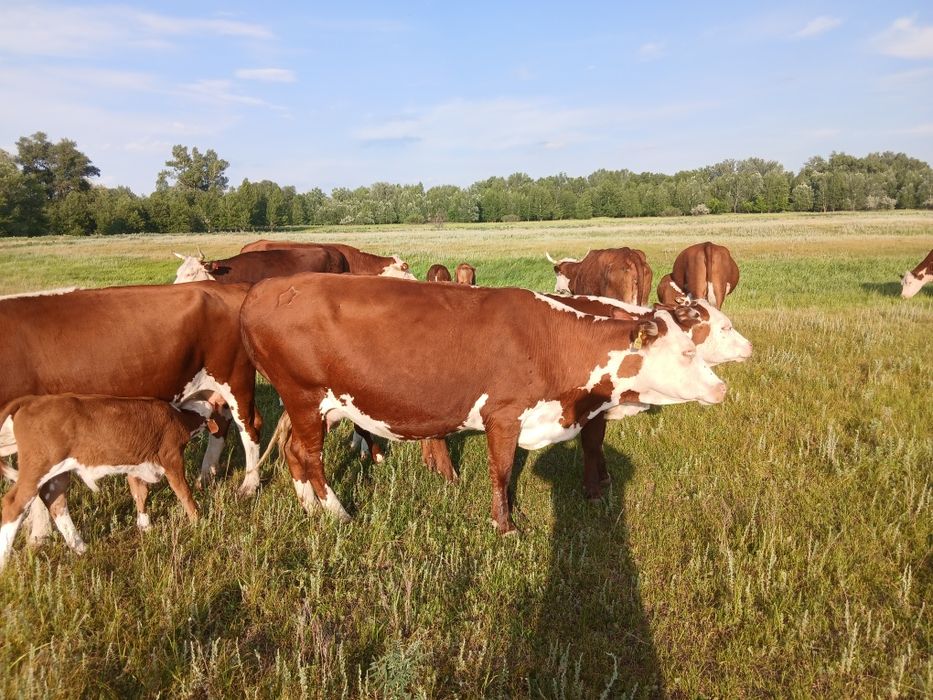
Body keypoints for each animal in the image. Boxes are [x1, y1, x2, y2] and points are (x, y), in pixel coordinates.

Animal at [0, 283, 262, 544]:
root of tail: (228, 287)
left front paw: (38, 535)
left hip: (235, 379)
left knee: (249, 427)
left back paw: (249, 485)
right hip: (212, 389)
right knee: (219, 422)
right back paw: (206, 476)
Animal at [0, 394, 218, 571]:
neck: (181, 416)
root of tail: (30, 400)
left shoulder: (137, 465)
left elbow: (140, 493)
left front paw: (145, 527)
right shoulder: (171, 458)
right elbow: (184, 493)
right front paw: (198, 522)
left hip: (58, 472)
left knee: (55, 500)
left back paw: (81, 548)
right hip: (38, 466)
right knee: (14, 504)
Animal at [240, 274, 725, 534]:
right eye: (687, 352)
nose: (721, 389)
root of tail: (268, 287)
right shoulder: (504, 415)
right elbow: (502, 471)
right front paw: (505, 526)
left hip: (317, 406)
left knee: (294, 453)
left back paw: (309, 509)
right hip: (304, 396)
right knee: (309, 456)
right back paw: (338, 513)